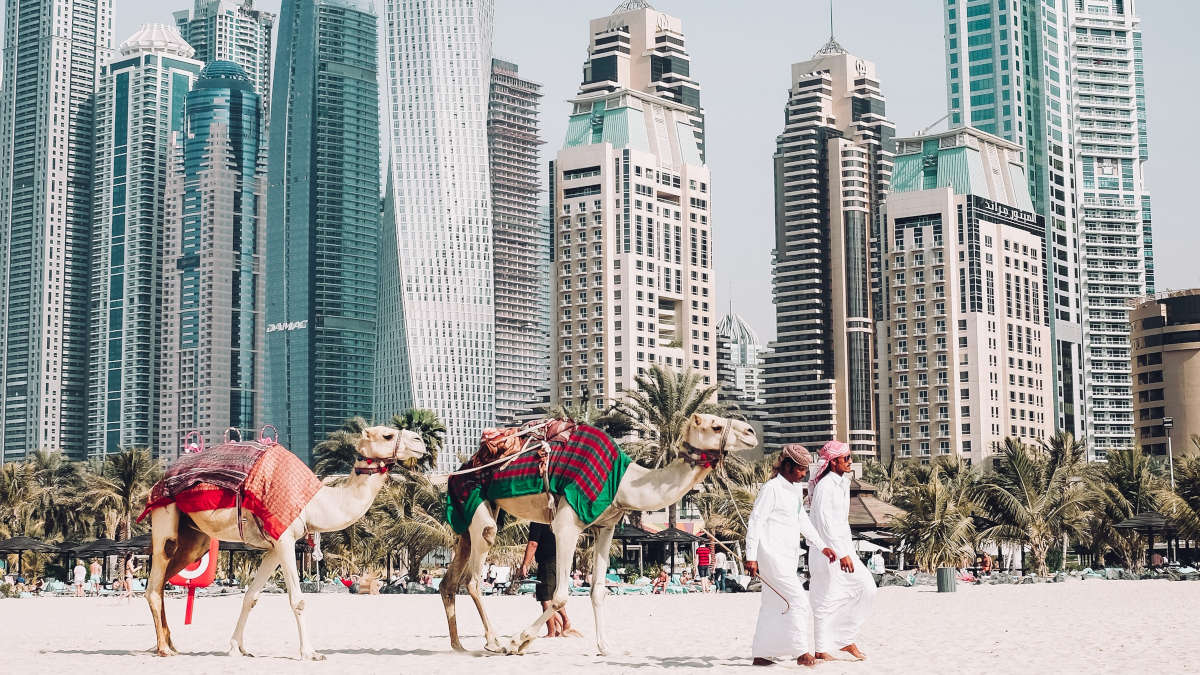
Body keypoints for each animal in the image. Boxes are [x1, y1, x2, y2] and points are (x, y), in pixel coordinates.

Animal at [145, 425, 427, 658]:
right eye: (387, 435)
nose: (420, 441)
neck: (314, 503)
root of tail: (158, 482)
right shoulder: (285, 539)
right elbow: (298, 600)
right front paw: (310, 653)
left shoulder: (273, 546)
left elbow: (251, 596)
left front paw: (238, 648)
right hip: (165, 513)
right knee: (156, 579)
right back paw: (162, 649)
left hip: (195, 538)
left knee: (167, 577)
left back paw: (171, 644)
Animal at [441, 410, 758, 653]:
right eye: (715, 425)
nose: (751, 431)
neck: (623, 483)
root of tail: (460, 468)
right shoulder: (566, 524)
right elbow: (560, 595)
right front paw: (518, 641)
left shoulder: (606, 527)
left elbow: (598, 591)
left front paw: (605, 646)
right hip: (474, 498)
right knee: (474, 576)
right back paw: (495, 642)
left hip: (469, 513)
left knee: (450, 580)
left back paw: (458, 646)